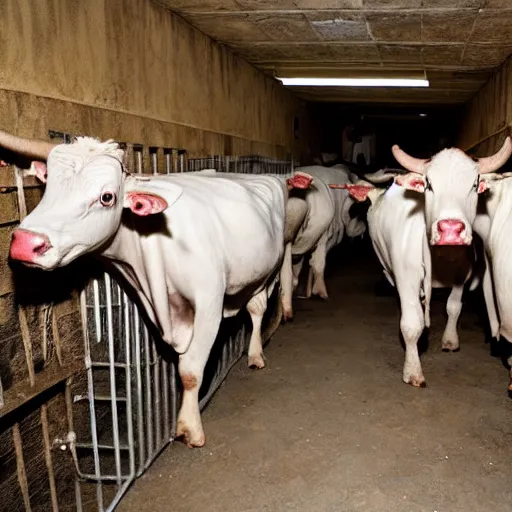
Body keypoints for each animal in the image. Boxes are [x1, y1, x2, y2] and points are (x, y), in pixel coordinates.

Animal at [2, 132, 308, 448]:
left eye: (107, 197)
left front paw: (189, 427)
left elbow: (190, 371)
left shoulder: (209, 302)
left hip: (266, 271)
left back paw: (256, 354)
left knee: (257, 310)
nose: (25, 242)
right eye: (48, 183)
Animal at [334, 138, 510, 386]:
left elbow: (453, 308)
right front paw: (412, 370)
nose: (450, 230)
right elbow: (411, 324)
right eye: (429, 184)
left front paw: (450, 340)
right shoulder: (406, 277)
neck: (443, 258)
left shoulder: (462, 276)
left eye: (474, 184)